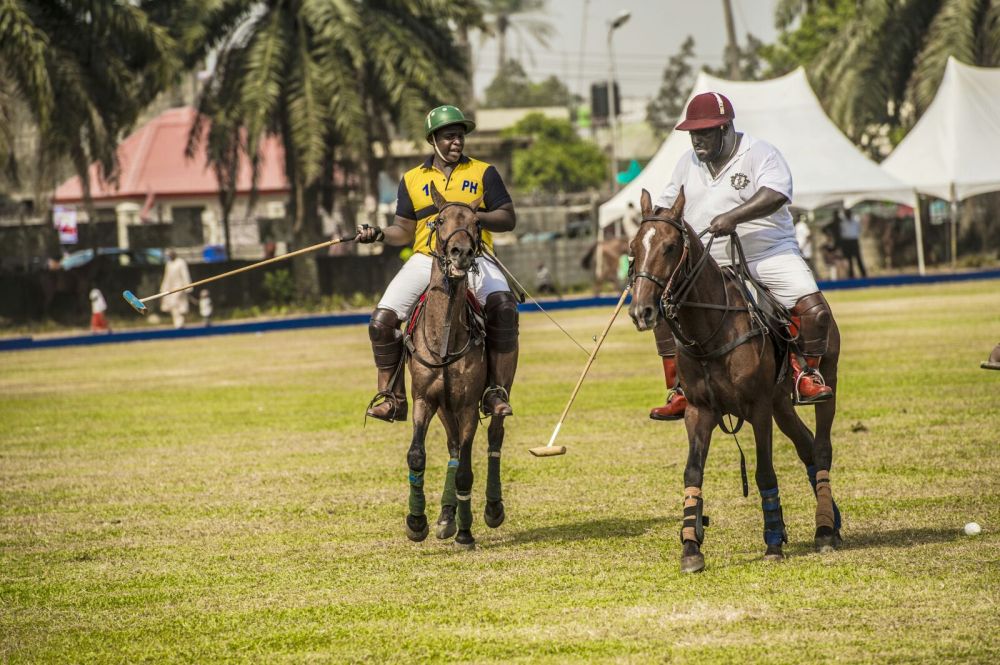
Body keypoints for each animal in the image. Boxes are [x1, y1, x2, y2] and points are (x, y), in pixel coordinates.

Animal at [400, 183, 504, 548]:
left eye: (477, 222)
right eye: (440, 220)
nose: (461, 253)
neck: (444, 335)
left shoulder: (469, 405)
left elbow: (465, 472)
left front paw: (466, 531)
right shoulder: (424, 399)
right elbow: (417, 454)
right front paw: (417, 522)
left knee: (493, 437)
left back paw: (491, 509)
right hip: (445, 407)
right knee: (454, 446)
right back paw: (447, 515)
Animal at [628, 188, 840, 572]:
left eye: (669, 246)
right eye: (634, 246)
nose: (641, 311)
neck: (709, 331)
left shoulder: (757, 408)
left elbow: (764, 472)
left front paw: (773, 542)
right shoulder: (699, 411)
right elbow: (692, 473)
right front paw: (690, 546)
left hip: (821, 379)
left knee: (821, 447)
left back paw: (825, 531)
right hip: (781, 402)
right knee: (805, 445)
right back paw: (833, 520)